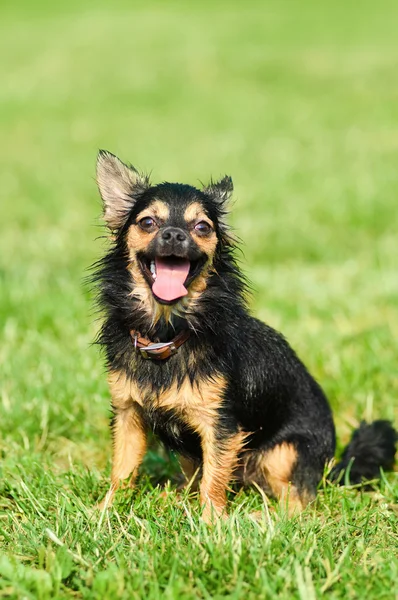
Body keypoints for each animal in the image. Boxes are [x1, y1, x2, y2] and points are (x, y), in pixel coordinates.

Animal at [92, 150, 394, 520]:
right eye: (148, 223)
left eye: (202, 227)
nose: (175, 235)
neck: (169, 330)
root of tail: (330, 465)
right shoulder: (128, 414)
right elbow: (122, 469)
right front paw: (104, 511)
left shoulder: (221, 426)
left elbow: (214, 479)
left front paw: (211, 523)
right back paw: (173, 499)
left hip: (285, 453)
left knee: (298, 503)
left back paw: (263, 517)